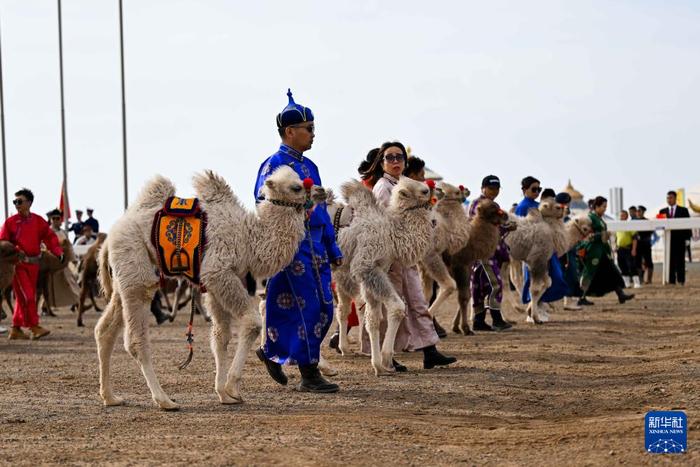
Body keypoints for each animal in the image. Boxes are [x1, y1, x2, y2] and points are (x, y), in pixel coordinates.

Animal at [94, 167, 326, 410]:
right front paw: (232, 387)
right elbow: (251, 323)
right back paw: (165, 400)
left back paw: (110, 397)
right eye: (297, 187)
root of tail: (108, 240)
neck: (249, 237)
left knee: (104, 330)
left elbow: (220, 337)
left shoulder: (214, 286)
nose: (321, 191)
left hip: (124, 280)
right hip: (137, 272)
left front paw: (223, 394)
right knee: (135, 339)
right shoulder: (218, 272)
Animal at [332, 177, 432, 378]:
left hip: (339, 273)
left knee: (342, 308)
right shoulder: (366, 267)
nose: (435, 192)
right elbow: (397, 307)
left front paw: (379, 365)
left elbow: (373, 319)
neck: (391, 232)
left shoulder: (375, 271)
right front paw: (386, 361)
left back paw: (343, 349)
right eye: (424, 191)